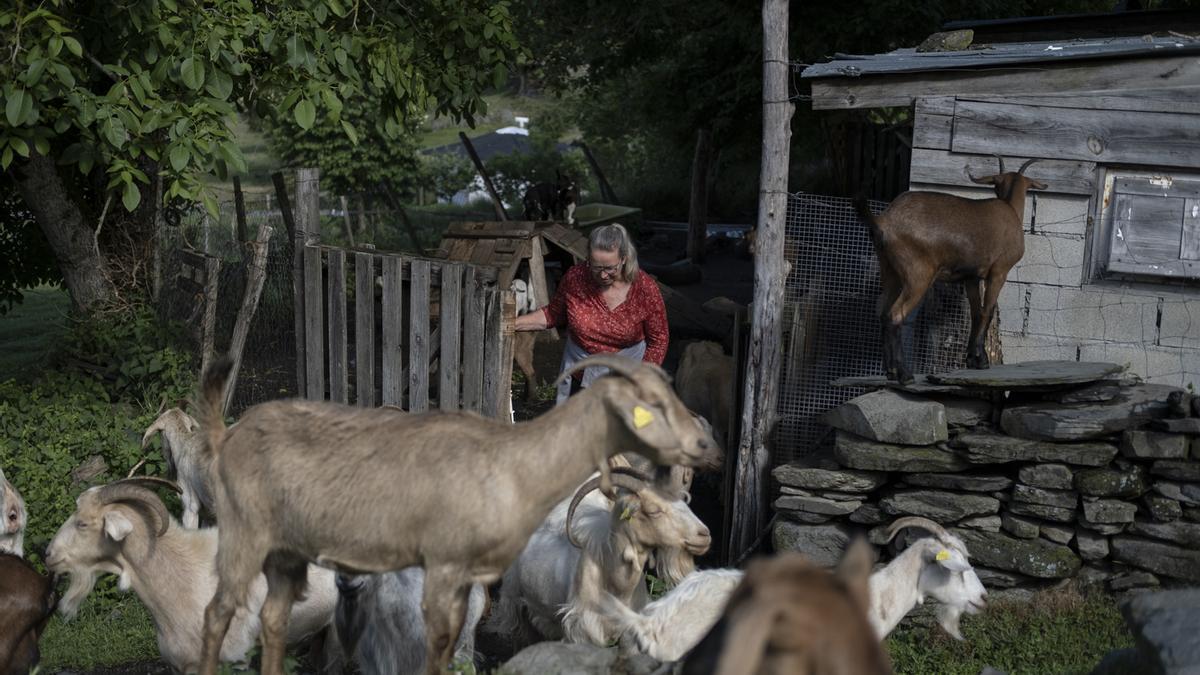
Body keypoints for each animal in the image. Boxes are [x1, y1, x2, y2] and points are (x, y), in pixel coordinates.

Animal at [859, 154, 1046, 381]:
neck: (1010, 210)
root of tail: (883, 220)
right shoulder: (999, 272)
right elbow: (987, 311)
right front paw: (982, 361)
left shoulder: (972, 277)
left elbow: (976, 313)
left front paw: (972, 359)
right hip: (918, 276)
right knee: (895, 315)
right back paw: (904, 374)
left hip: (889, 272)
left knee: (884, 315)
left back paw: (891, 372)